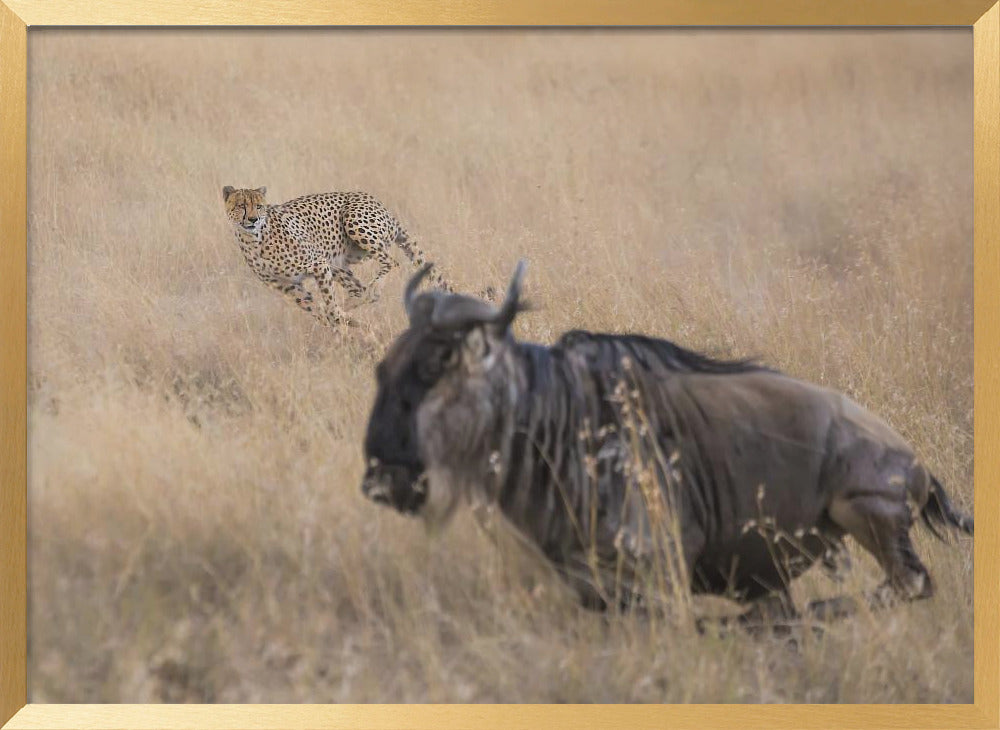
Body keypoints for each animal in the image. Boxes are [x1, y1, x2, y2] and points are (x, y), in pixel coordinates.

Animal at [222, 186, 454, 327]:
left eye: (259, 206)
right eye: (241, 206)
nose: (253, 219)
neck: (254, 239)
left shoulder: (318, 264)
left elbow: (330, 307)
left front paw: (342, 327)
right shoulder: (286, 286)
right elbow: (317, 309)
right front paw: (342, 327)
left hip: (354, 223)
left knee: (390, 262)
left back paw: (369, 292)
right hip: (339, 264)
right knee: (360, 289)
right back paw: (355, 304)